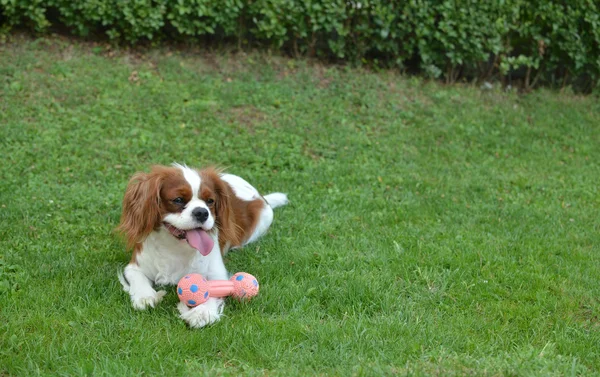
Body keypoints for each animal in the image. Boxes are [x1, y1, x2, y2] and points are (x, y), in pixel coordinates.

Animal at [116, 163, 288, 328]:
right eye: (178, 200)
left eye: (210, 201)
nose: (202, 212)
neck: (176, 246)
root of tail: (260, 196)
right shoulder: (134, 266)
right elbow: (138, 279)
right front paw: (145, 296)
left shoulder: (217, 274)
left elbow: (213, 290)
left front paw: (201, 313)